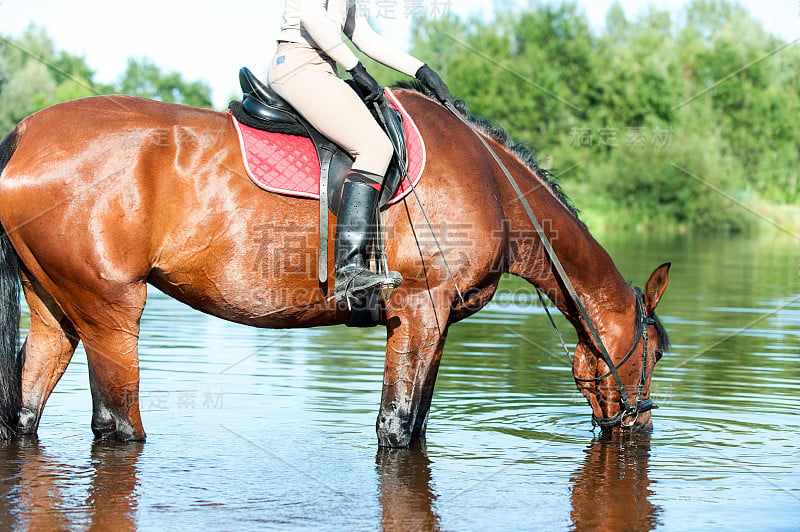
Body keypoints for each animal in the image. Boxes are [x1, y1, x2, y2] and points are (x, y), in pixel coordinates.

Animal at [0, 89, 668, 446]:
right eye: (656, 353)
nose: (639, 430)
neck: (494, 186)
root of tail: (26, 132)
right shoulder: (421, 311)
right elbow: (397, 430)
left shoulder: (433, 324)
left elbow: (413, 426)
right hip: (110, 311)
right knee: (117, 425)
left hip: (58, 310)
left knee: (26, 410)